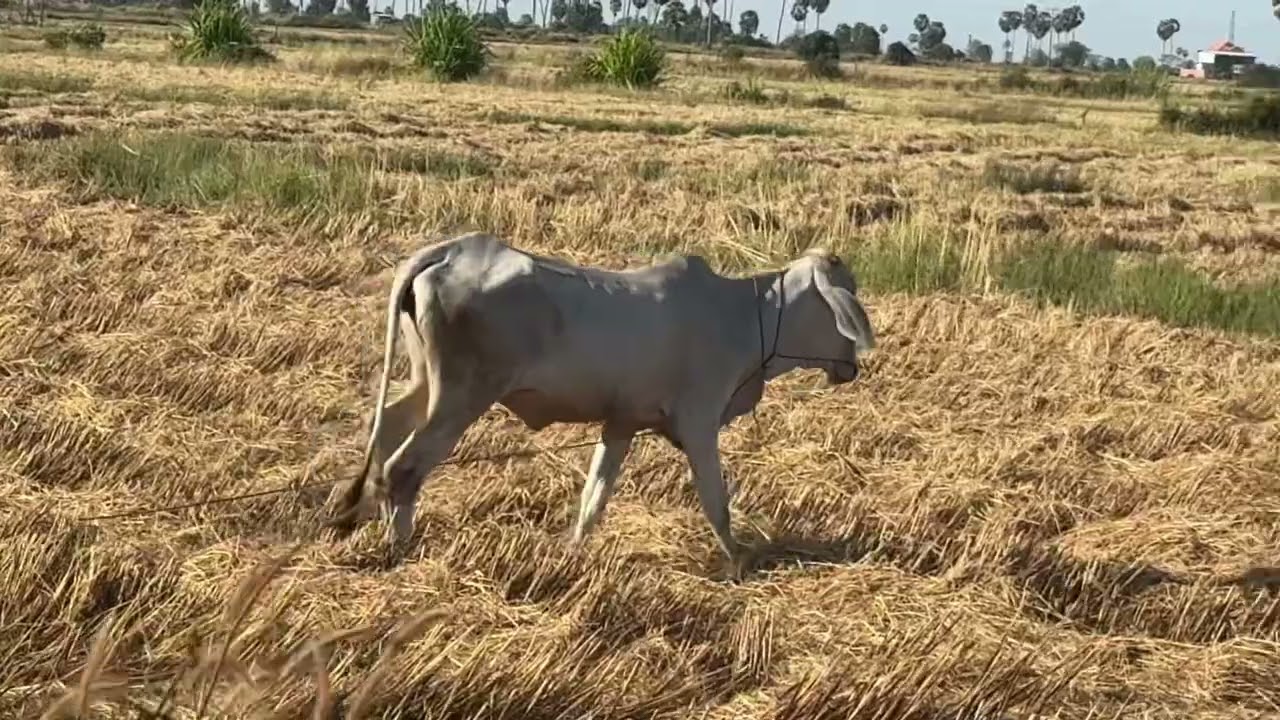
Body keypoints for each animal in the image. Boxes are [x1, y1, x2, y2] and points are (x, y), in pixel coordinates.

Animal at [327, 232, 875, 572]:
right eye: (846, 293)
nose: (851, 366)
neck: (746, 316)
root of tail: (450, 251)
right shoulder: (700, 423)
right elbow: (716, 501)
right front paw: (737, 560)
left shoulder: (621, 424)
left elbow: (594, 496)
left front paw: (573, 552)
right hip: (460, 397)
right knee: (403, 468)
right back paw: (400, 551)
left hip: (426, 383)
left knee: (386, 428)